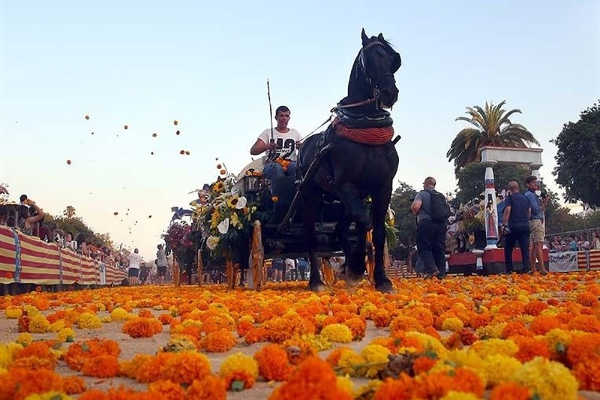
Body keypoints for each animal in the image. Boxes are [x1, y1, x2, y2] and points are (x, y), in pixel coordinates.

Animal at [298, 28, 400, 290]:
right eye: (371, 57)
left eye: (393, 59)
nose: (390, 92)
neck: (365, 126)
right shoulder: (344, 184)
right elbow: (364, 220)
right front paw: (354, 269)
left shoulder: (383, 186)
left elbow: (376, 232)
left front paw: (380, 279)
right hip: (311, 195)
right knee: (311, 236)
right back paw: (316, 281)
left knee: (343, 226)